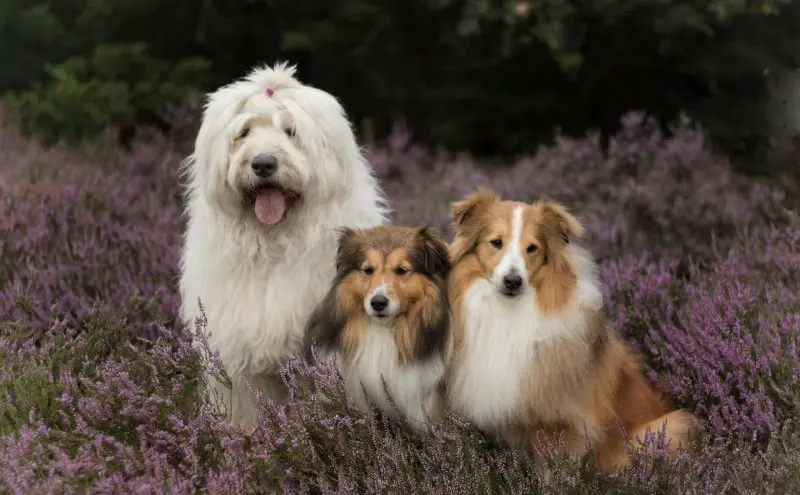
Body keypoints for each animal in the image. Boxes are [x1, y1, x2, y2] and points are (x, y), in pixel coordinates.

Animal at [182, 62, 394, 428]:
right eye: (244, 132)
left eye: (291, 131)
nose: (263, 164)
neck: (275, 244)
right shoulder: (239, 358)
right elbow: (246, 412)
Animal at [446, 190, 696, 472]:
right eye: (496, 243)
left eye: (532, 248)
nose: (513, 282)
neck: (510, 311)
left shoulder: (557, 420)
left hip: (666, 429)